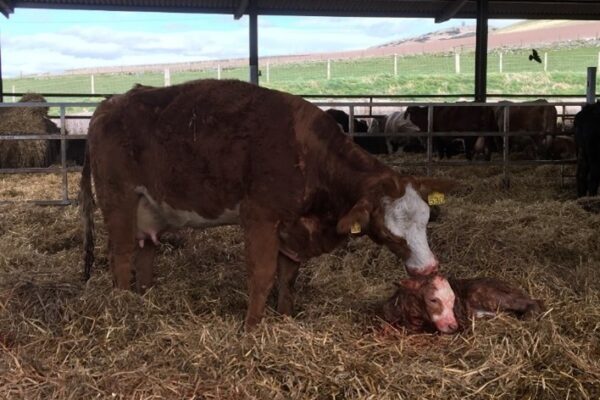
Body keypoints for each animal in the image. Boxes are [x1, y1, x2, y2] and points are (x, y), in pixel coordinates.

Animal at [81, 79, 454, 330]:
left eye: (426, 220)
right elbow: (262, 275)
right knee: (121, 256)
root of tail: (108, 105)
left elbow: (288, 277)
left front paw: (285, 316)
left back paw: (144, 299)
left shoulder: (292, 226)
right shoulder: (260, 217)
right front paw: (251, 328)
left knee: (145, 253)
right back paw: (122, 307)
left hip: (149, 209)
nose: (428, 268)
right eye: (391, 234)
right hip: (118, 201)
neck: (308, 155)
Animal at [384, 274, 544, 332]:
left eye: (453, 300)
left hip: (486, 294)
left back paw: (528, 318)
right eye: (433, 299)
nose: (453, 326)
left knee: (534, 302)